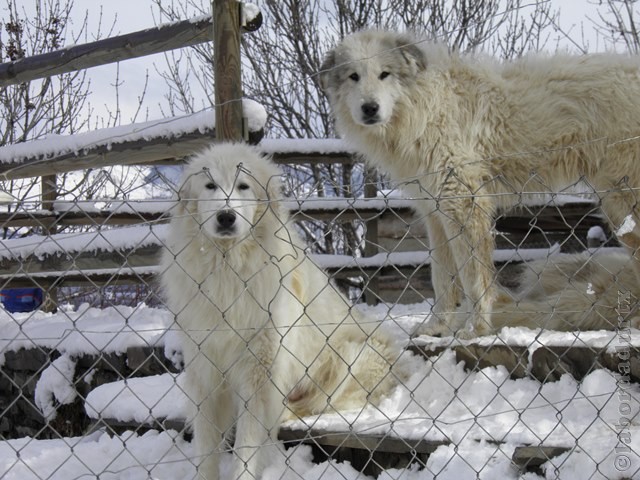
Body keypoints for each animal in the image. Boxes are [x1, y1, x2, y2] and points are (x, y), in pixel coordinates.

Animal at [162, 143, 408, 480]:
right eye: (210, 186)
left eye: (243, 186)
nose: (226, 217)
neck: (229, 268)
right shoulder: (206, 367)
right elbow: (206, 446)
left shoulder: (258, 370)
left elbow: (246, 445)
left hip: (350, 356)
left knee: (314, 404)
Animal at [320, 30, 640, 338]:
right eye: (353, 76)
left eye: (384, 74)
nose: (369, 108)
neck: (425, 108)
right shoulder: (435, 214)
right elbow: (442, 279)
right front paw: (436, 328)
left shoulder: (465, 203)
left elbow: (473, 280)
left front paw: (476, 330)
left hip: (622, 204)